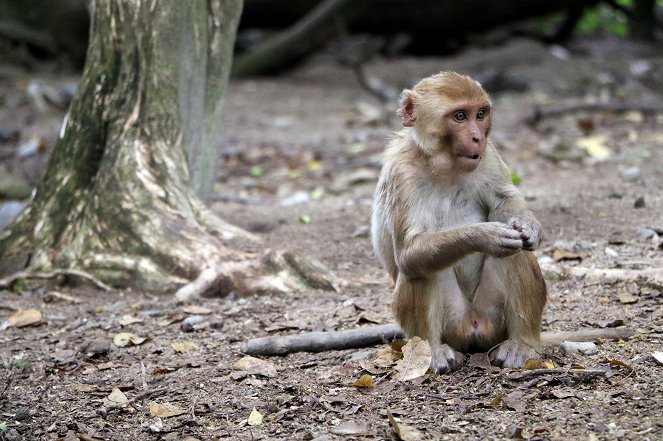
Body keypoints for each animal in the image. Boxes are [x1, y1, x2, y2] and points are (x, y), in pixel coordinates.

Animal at [370, 71, 548, 372]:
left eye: (481, 114)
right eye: (460, 116)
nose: (476, 137)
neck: (445, 164)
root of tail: (474, 326)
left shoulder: (488, 156)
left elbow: (505, 202)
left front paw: (529, 226)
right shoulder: (401, 174)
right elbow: (409, 252)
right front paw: (487, 236)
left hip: (492, 317)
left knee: (519, 252)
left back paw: (522, 344)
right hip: (453, 323)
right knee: (419, 268)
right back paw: (431, 353)